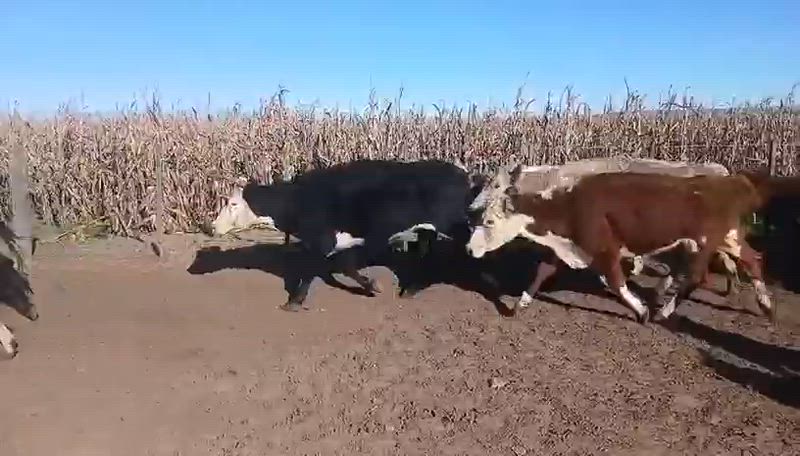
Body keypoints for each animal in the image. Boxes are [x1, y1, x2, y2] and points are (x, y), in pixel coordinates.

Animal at [210, 159, 476, 312]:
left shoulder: (322, 241)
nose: (211, 226)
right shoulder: (337, 242)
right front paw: (371, 285)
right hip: (427, 229)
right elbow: (346, 266)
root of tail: (461, 171)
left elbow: (312, 270)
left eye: (233, 203)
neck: (298, 199)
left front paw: (294, 302)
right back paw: (411, 287)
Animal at [465, 165, 800, 324]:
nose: (469, 250)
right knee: (753, 260)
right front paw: (519, 304)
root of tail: (731, 182)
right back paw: (766, 306)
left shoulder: (605, 248)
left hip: (704, 243)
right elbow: (542, 272)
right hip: (728, 237)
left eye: (489, 222)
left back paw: (664, 312)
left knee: (695, 276)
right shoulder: (566, 246)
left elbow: (616, 282)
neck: (570, 204)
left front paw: (641, 312)